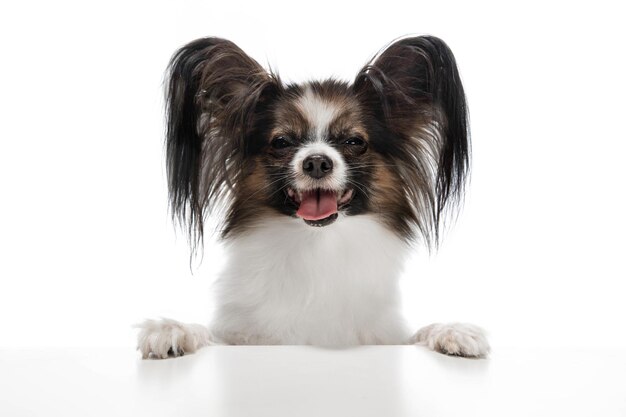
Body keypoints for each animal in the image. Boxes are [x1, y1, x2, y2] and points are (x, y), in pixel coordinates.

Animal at [135, 35, 488, 358]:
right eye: (281, 142)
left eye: (354, 142)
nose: (317, 162)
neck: (319, 246)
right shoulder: (243, 335)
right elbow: (210, 335)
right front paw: (174, 330)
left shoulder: (383, 335)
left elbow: (417, 335)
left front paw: (451, 331)